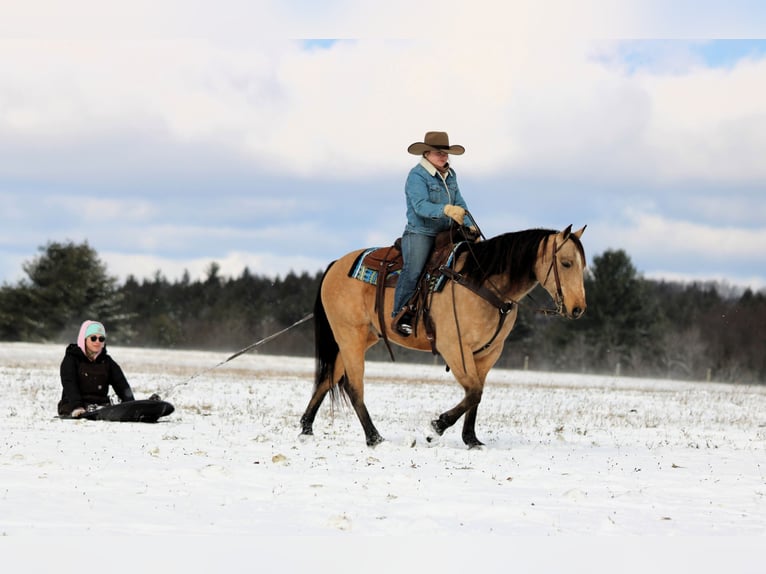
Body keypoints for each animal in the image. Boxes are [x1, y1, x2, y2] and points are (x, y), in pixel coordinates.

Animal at [299, 225, 587, 448]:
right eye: (566, 263)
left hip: (359, 338)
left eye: (583, 265)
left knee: (328, 377)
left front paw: (471, 440)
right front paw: (436, 427)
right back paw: (374, 438)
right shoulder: (454, 347)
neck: (482, 283)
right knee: (353, 385)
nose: (578, 309)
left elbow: (477, 394)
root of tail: (336, 265)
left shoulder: (488, 353)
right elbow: (473, 391)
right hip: (350, 336)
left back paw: (306, 428)